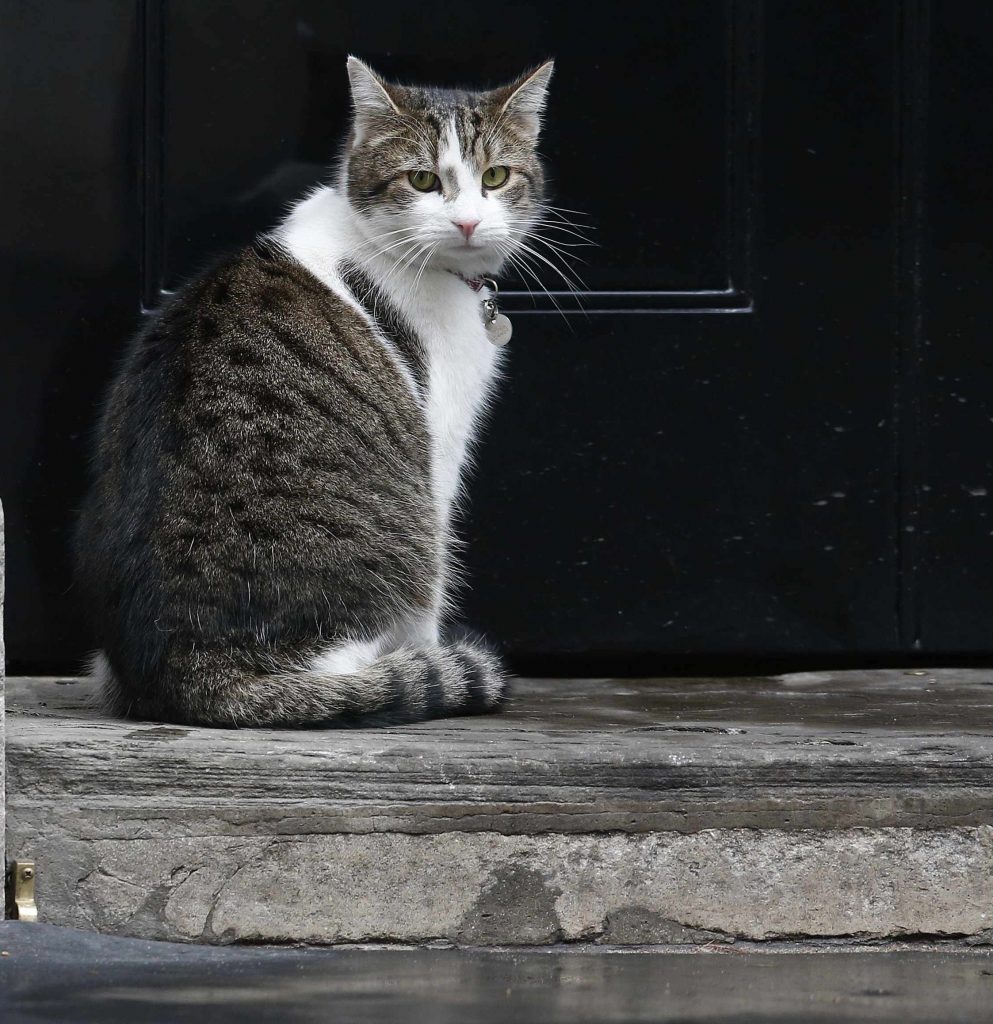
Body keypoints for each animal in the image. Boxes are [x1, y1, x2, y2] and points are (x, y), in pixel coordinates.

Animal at [75, 58, 556, 729]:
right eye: (423, 179)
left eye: (495, 177)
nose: (466, 222)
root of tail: (189, 669)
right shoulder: (439, 447)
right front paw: (431, 657)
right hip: (398, 546)